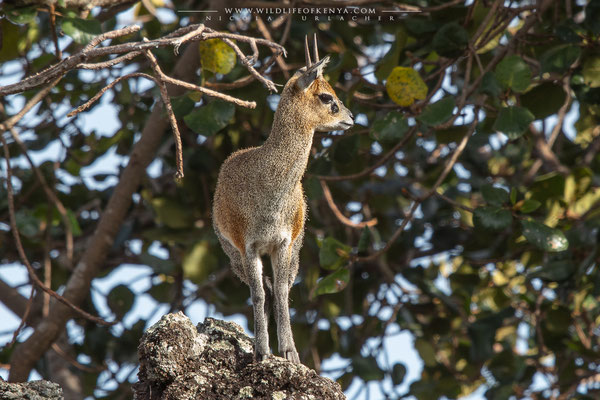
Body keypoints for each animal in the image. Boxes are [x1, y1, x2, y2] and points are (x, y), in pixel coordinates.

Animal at [212, 36, 354, 362]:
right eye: (327, 96)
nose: (351, 118)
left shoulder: (284, 242)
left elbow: (281, 291)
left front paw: (289, 352)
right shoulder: (248, 246)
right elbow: (259, 294)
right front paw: (262, 352)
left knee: (282, 288)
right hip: (232, 255)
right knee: (262, 290)